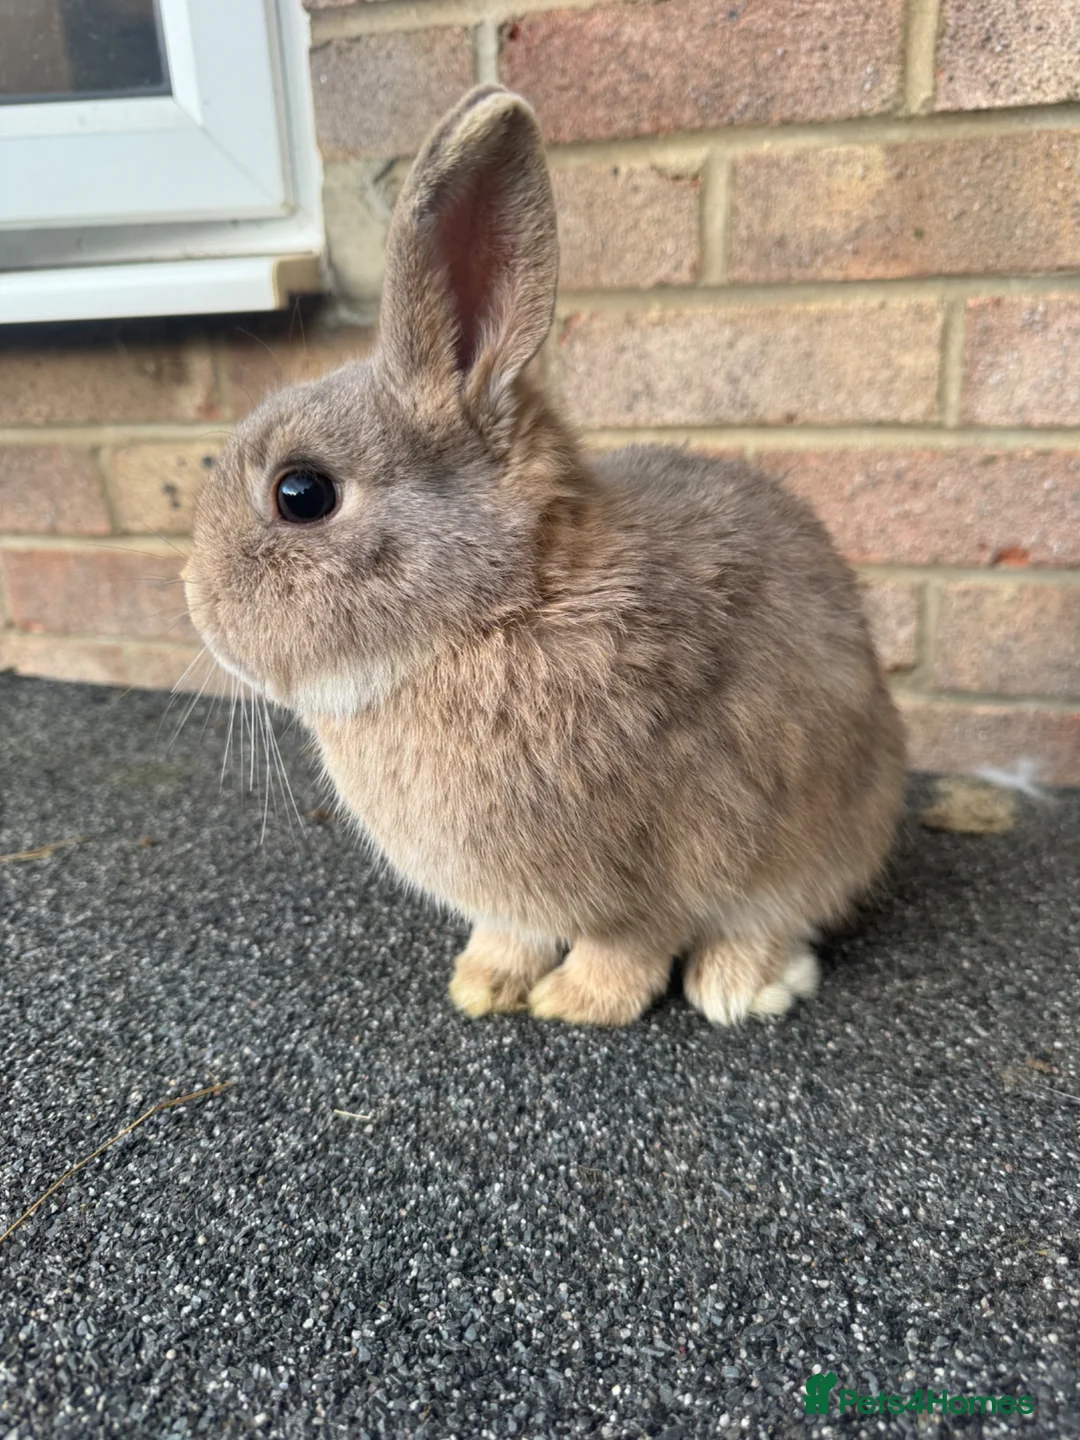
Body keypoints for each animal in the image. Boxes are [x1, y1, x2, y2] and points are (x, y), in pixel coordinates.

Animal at [184, 85, 906, 1028]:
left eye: (301, 494)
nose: (193, 601)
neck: (507, 606)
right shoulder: (518, 896)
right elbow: (514, 931)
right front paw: (483, 983)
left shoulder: (666, 858)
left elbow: (630, 942)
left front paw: (578, 1002)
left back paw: (738, 986)